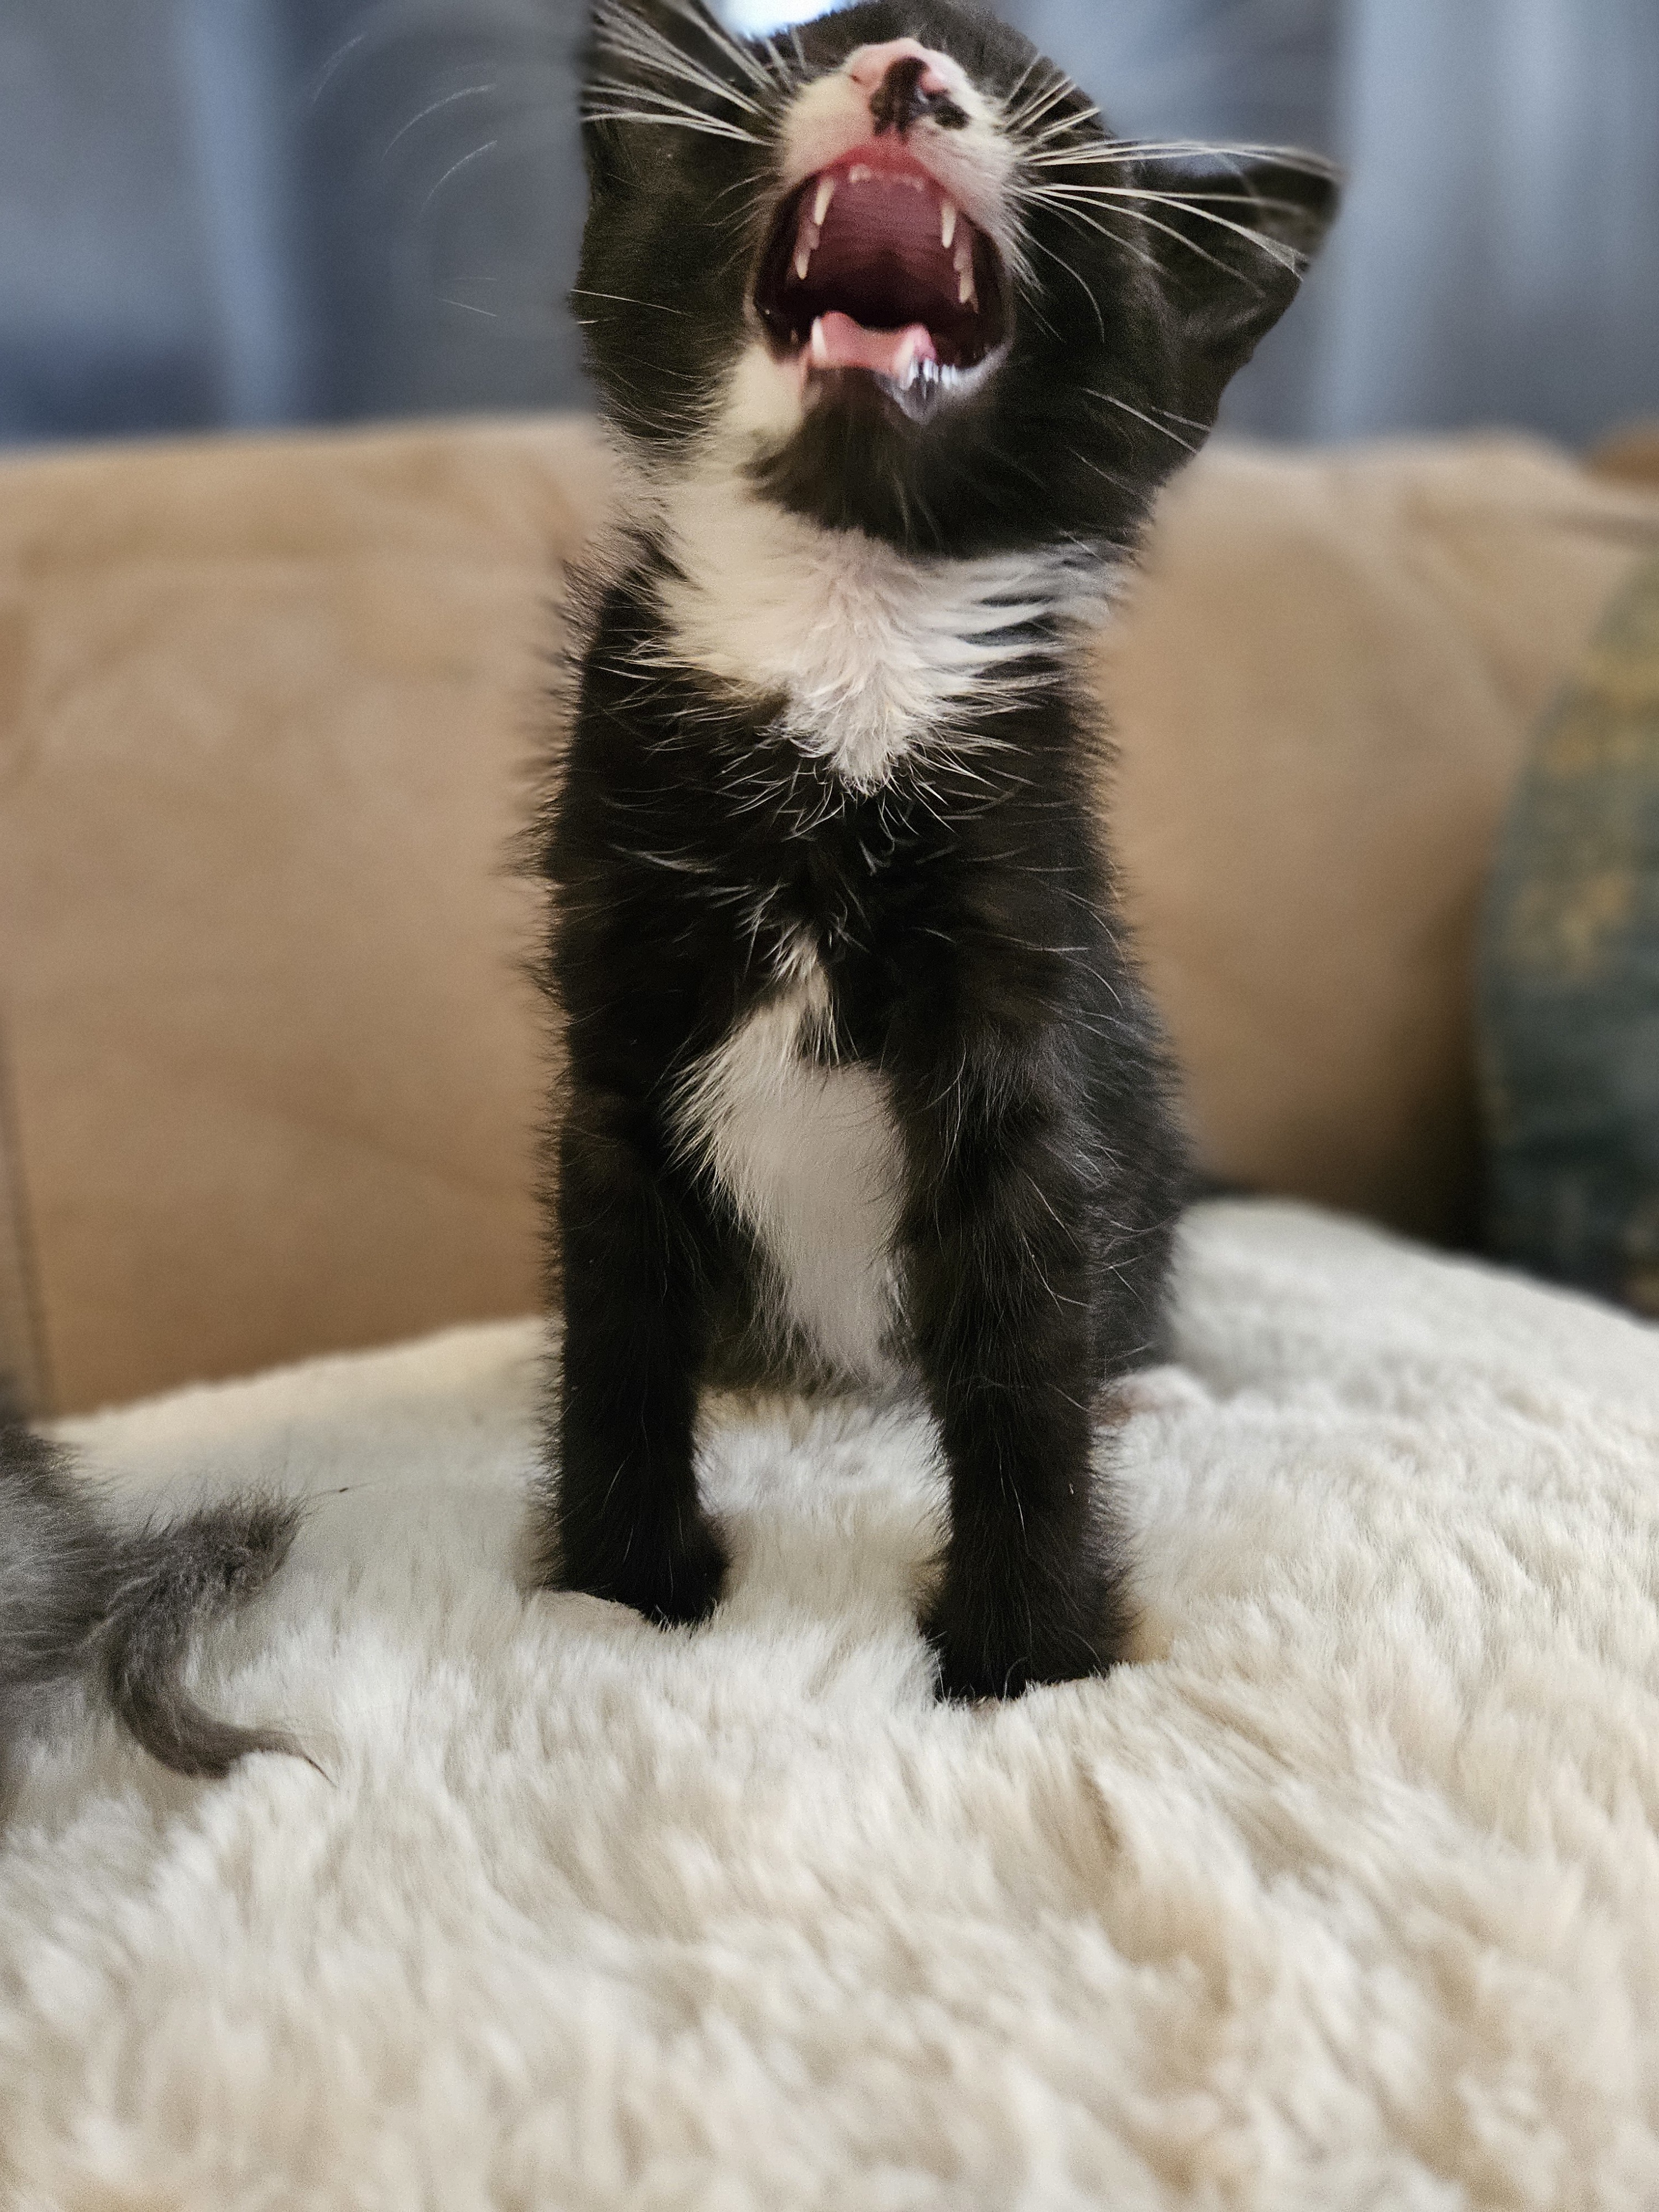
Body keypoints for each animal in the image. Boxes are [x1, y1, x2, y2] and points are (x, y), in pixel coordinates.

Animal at [540, 0, 1345, 1690]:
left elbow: (1026, 1334)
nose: (909, 74)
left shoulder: (1023, 965)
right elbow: (618, 1317)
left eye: (1050, 112)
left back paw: (1148, 1379)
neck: (842, 638)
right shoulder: (617, 995)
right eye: (813, 47)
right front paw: (619, 1591)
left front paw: (1024, 1654)